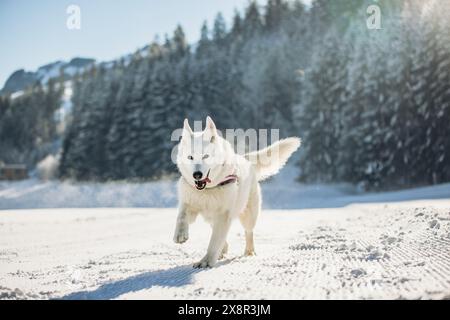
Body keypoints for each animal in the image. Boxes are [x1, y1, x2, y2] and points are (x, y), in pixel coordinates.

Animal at [174, 116, 300, 266]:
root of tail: (245, 158)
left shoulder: (223, 215)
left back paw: (249, 252)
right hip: (211, 218)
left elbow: (214, 242)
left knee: (248, 232)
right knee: (223, 237)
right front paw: (180, 235)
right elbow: (181, 217)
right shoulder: (189, 203)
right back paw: (223, 251)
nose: (197, 175)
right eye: (190, 157)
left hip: (248, 215)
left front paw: (206, 261)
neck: (209, 189)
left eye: (205, 156)